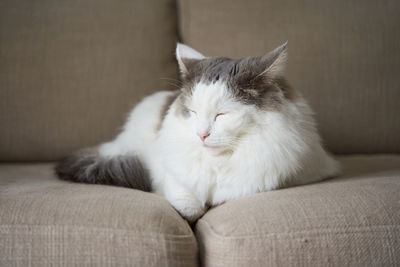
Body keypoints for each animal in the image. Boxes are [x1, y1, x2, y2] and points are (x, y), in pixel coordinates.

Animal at [54, 42, 340, 222]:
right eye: (191, 113)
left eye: (221, 115)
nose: (201, 135)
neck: (219, 163)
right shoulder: (170, 173)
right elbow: (187, 204)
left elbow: (238, 189)